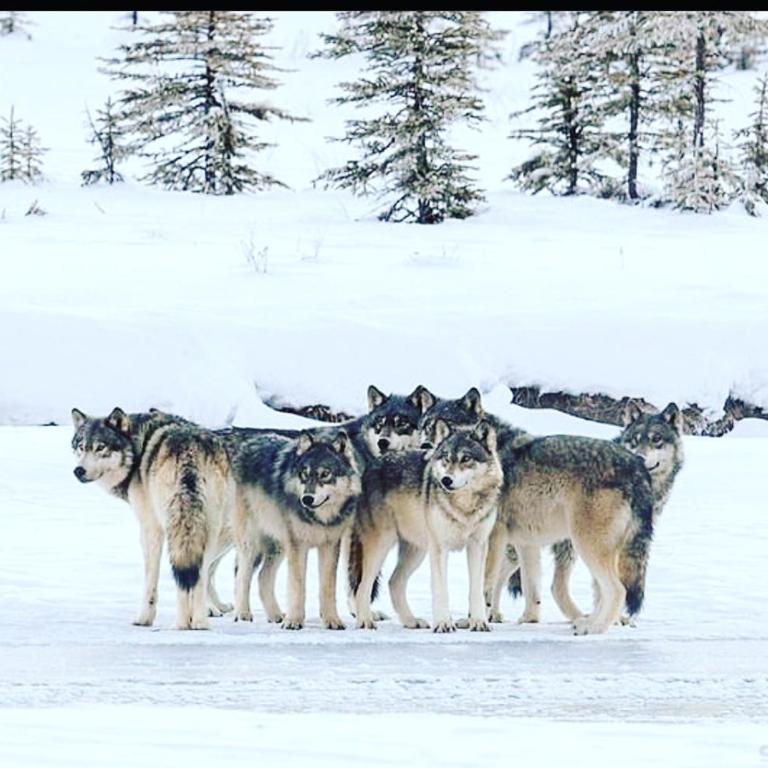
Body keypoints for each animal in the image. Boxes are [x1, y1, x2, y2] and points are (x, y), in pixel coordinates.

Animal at [71, 407, 235, 630]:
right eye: (81, 447)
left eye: (100, 448)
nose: (78, 471)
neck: (136, 447)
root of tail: (189, 451)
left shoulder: (149, 528)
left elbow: (150, 581)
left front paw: (144, 619)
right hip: (209, 529)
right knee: (200, 573)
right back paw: (200, 621)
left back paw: (181, 624)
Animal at [231, 428, 363, 630]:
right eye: (304, 474)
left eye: (325, 474)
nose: (307, 499)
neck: (318, 519)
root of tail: (250, 442)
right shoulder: (298, 545)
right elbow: (297, 586)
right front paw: (293, 621)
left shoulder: (330, 545)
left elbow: (327, 588)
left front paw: (332, 621)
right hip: (251, 543)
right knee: (242, 577)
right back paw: (243, 614)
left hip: (278, 546)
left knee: (262, 577)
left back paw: (276, 615)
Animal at [349, 419, 503, 632]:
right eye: (446, 458)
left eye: (465, 458)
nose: (446, 480)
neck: (464, 507)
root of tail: (371, 466)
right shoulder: (439, 547)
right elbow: (441, 589)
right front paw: (444, 624)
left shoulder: (478, 546)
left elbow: (476, 590)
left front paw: (479, 622)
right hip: (381, 545)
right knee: (362, 586)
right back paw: (365, 621)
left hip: (416, 551)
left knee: (394, 582)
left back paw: (411, 621)